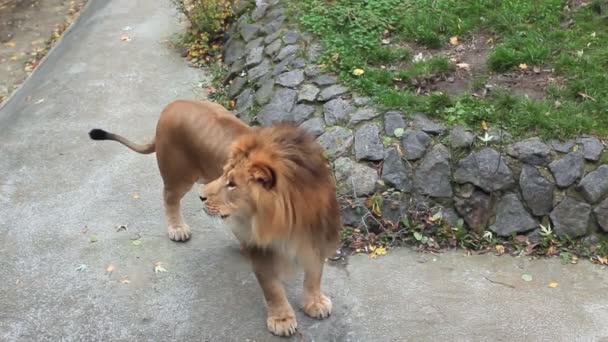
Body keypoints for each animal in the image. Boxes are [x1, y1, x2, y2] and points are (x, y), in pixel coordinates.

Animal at [201, 123, 342, 336]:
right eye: (223, 174)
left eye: (232, 184)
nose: (200, 196)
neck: (289, 222)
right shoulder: (263, 250)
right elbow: (272, 288)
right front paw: (281, 319)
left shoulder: (318, 236)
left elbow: (314, 274)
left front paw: (315, 303)